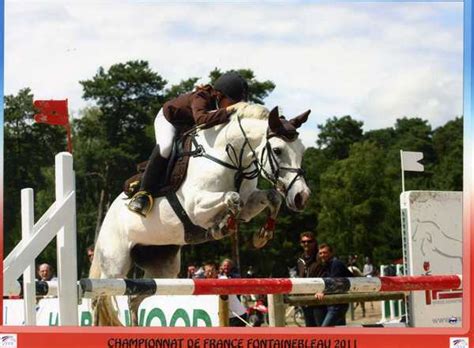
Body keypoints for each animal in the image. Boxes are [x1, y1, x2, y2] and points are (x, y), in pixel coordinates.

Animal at [89, 102, 312, 324]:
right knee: (102, 299)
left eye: (302, 151)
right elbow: (233, 198)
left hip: (163, 267)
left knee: (134, 298)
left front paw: (262, 235)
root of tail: (106, 219)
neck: (230, 158)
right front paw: (222, 226)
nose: (302, 196)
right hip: (114, 267)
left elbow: (272, 197)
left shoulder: (249, 205)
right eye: (277, 150)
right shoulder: (195, 207)